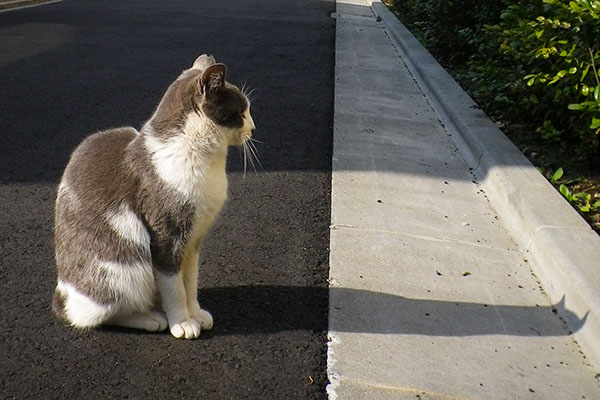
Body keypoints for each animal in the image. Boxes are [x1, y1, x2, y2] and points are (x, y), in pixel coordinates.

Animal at [51, 54, 255, 340]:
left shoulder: (193, 241)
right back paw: (151, 318)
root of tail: (63, 293)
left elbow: (190, 282)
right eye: (241, 112)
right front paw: (182, 322)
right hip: (128, 268)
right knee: (98, 315)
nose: (253, 127)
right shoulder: (166, 239)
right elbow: (174, 288)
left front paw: (195, 313)